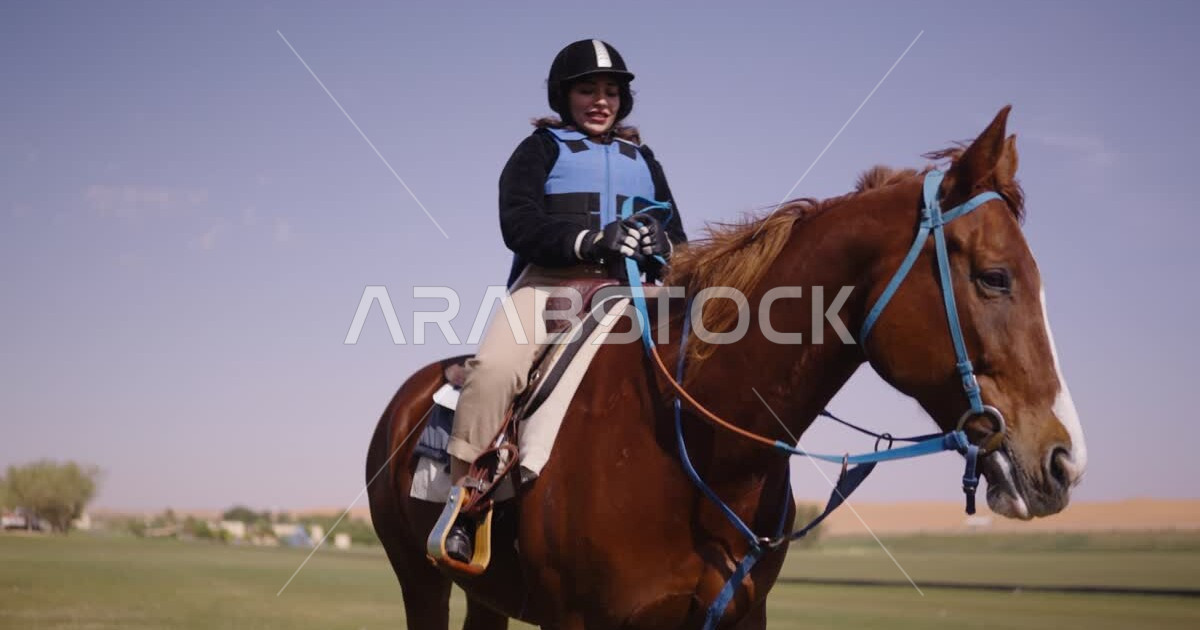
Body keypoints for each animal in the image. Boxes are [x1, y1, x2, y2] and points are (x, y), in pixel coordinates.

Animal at [366, 106, 1087, 629]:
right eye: (995, 277)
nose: (1064, 460)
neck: (690, 446)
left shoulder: (739, 616)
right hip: (420, 583)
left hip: (484, 596)